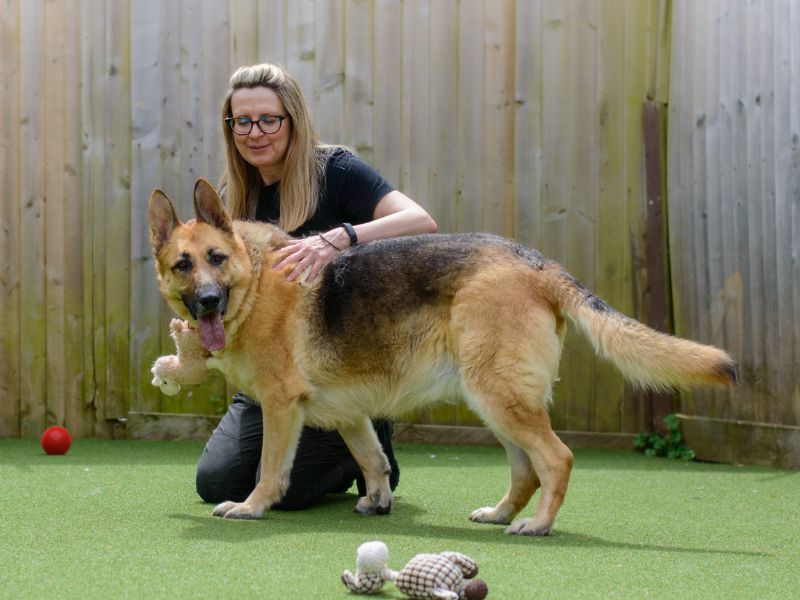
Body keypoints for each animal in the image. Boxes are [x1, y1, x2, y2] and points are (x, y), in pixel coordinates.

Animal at [147, 178, 736, 536]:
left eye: (217, 258)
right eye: (183, 265)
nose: (207, 302)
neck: (254, 278)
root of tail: (539, 263)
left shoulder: (281, 407)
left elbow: (271, 469)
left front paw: (251, 507)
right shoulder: (349, 414)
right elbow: (373, 459)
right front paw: (378, 500)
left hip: (498, 396)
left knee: (557, 459)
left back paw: (537, 525)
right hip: (495, 401)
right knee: (526, 470)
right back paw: (500, 513)